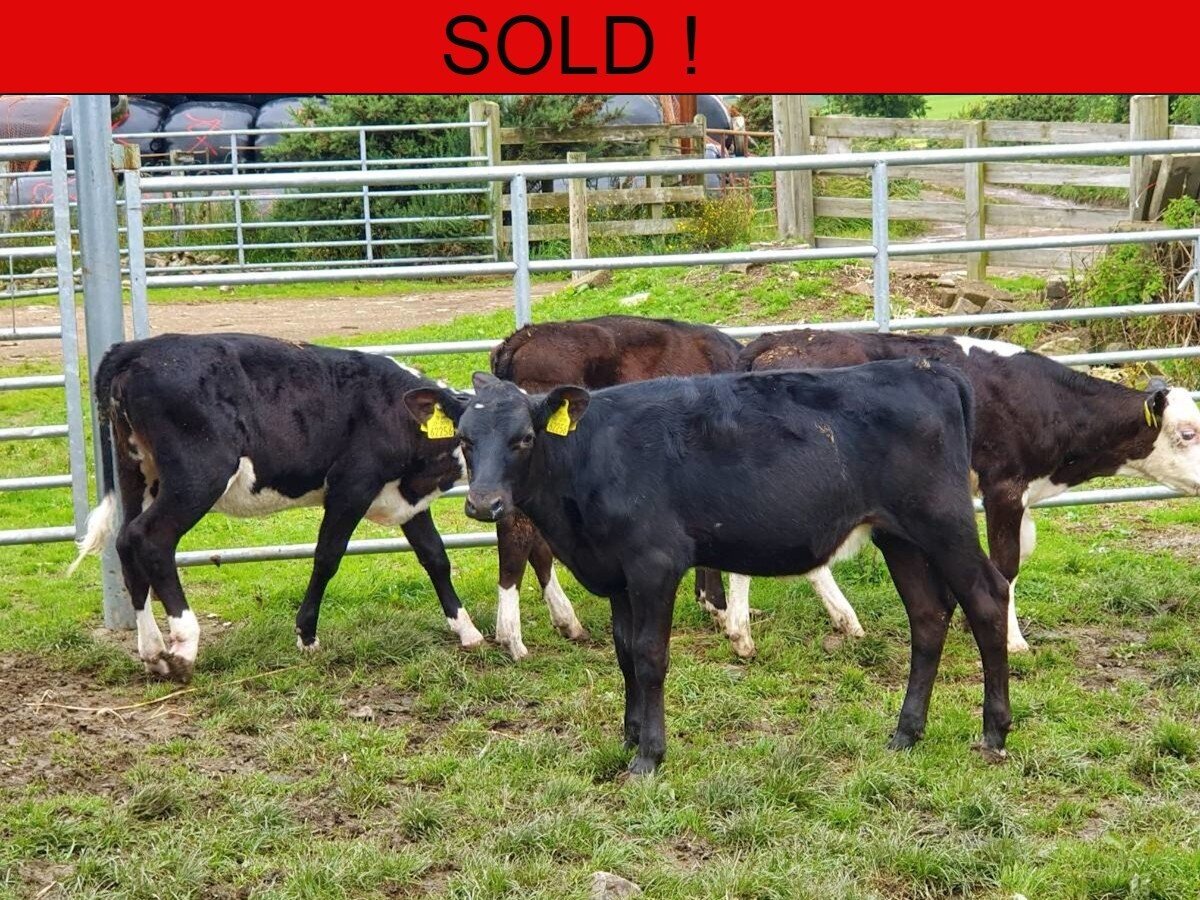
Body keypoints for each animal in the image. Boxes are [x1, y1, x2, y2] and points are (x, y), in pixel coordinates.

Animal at [68, 333, 482, 682]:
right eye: (468, 437)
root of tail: (137, 348)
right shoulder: (351, 487)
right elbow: (327, 557)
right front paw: (307, 635)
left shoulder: (407, 500)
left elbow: (435, 556)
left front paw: (468, 630)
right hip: (198, 476)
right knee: (150, 538)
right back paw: (184, 645)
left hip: (136, 472)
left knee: (125, 541)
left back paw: (153, 652)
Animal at [405, 362, 1014, 774]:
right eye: (464, 440)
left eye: (524, 438)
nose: (484, 505)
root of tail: (926, 368)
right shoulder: (616, 571)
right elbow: (624, 653)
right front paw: (629, 736)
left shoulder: (654, 562)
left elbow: (650, 657)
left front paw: (649, 756)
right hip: (898, 535)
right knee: (929, 617)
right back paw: (906, 733)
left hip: (942, 519)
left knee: (986, 599)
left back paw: (994, 732)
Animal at [487, 315, 751, 660]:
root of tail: (523, 336)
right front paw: (729, 618)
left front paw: (710, 602)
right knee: (516, 533)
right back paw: (512, 637)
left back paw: (566, 621)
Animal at [738, 330, 1200, 654]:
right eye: (1188, 433)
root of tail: (776, 340)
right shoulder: (1004, 487)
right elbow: (1006, 564)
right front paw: (1012, 640)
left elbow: (1016, 557)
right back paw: (741, 634)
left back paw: (844, 621)